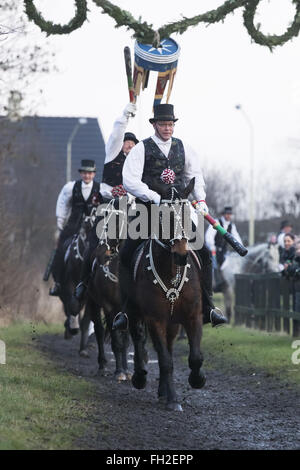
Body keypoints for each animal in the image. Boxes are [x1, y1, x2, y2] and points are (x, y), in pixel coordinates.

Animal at [126, 180, 206, 412]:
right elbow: (165, 361)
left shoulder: (193, 316)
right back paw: (140, 377)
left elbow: (195, 357)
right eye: (162, 215)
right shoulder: (155, 320)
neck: (171, 272)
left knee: (168, 348)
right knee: (138, 340)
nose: (181, 255)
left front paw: (197, 380)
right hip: (135, 315)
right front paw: (173, 400)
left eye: (187, 213)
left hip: (173, 323)